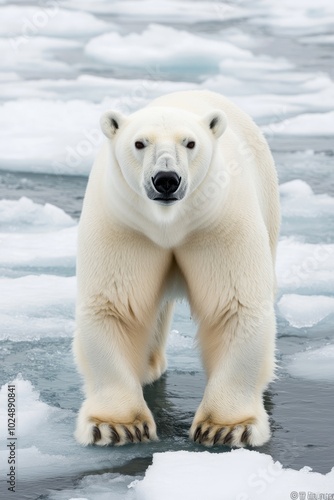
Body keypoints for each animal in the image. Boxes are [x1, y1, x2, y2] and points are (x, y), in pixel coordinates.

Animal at [73, 90, 280, 450]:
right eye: (140, 143)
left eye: (190, 143)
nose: (166, 180)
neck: (169, 222)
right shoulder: (125, 225)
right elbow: (115, 306)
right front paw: (117, 426)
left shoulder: (219, 221)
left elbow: (234, 306)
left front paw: (226, 428)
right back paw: (148, 367)